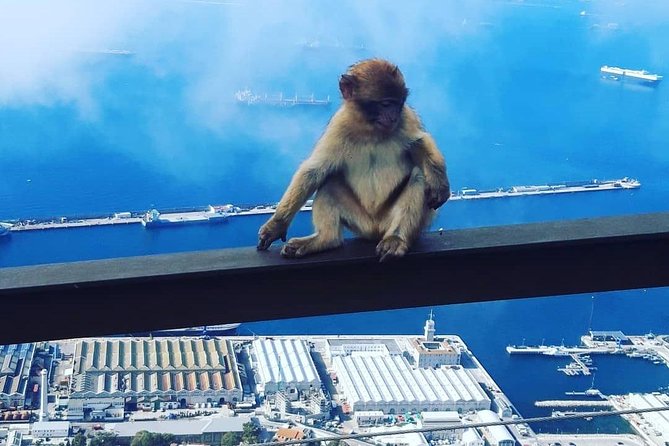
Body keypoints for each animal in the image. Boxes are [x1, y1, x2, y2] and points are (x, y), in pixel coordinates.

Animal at [257, 58, 450, 262]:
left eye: (399, 103)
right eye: (386, 104)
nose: (393, 116)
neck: (371, 130)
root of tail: (375, 229)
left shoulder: (406, 118)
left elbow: (419, 142)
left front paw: (440, 183)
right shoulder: (339, 125)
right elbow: (314, 171)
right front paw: (276, 226)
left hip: (390, 220)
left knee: (419, 176)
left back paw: (396, 239)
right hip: (361, 223)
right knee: (329, 182)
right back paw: (326, 239)